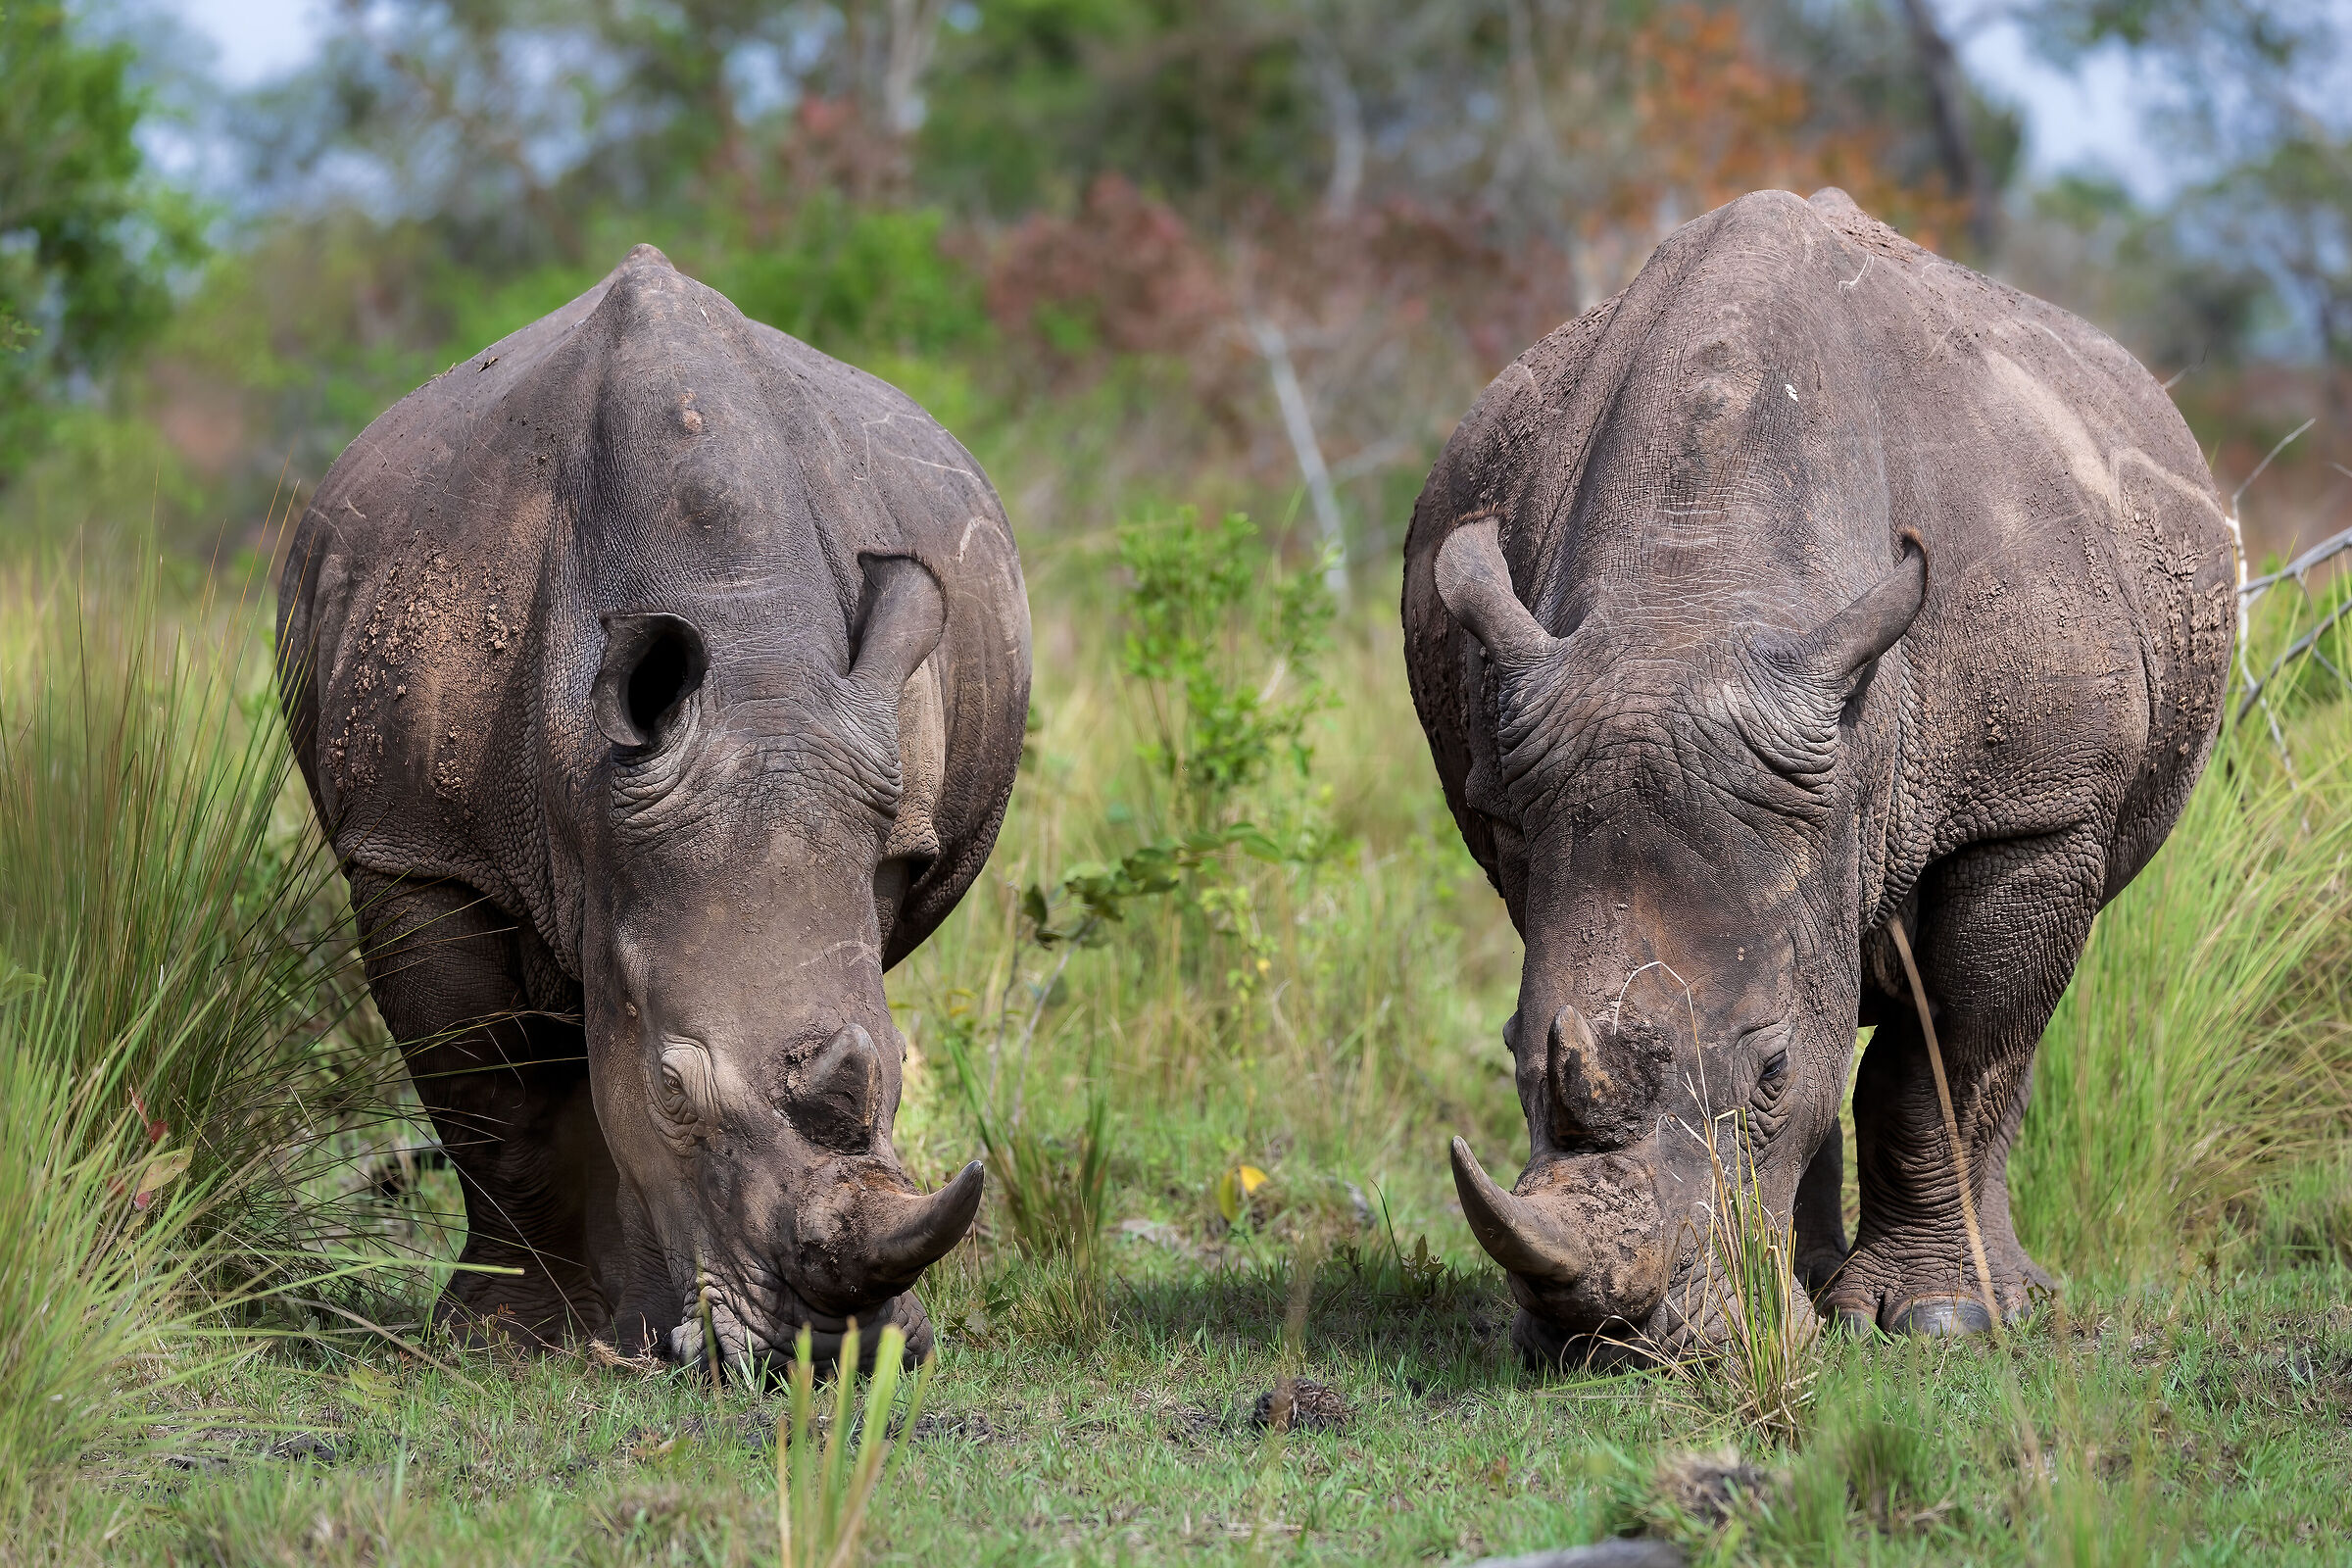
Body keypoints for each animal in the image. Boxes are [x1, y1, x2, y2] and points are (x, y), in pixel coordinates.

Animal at [279, 245, 1029, 1369]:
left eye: (896, 1071)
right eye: (676, 1090)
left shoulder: (882, 822)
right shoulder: (418, 848)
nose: (820, 1353)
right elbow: (489, 1105)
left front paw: (627, 1335)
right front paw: (503, 1341)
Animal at [1402, 189, 2230, 1360]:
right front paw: (1797, 1310)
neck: (1689, 601)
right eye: (1515, 1049)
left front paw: (1936, 1321)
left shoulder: (2030, 811)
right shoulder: (1525, 797)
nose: (1617, 1343)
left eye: (1772, 1070)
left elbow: (1943, 1058)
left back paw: (2005, 1296)